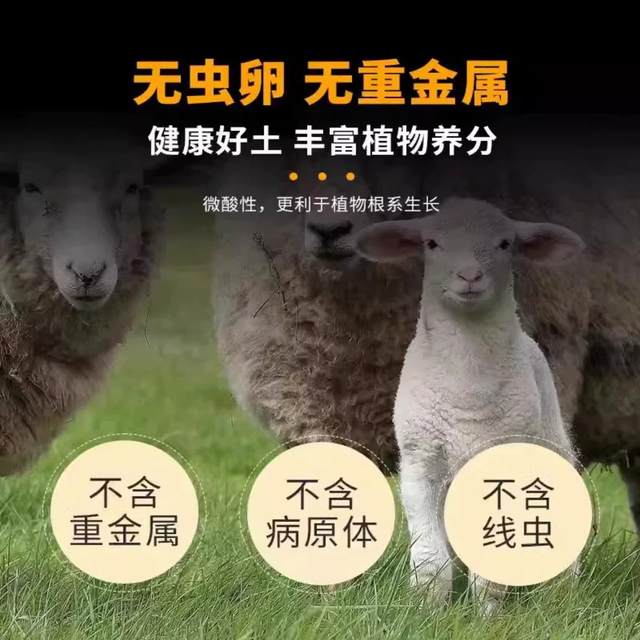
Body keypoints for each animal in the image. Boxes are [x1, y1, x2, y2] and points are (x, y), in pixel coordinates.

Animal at [354, 197, 584, 609]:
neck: (467, 388)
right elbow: (430, 560)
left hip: (552, 444)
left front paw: (488, 612)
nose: (469, 276)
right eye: (431, 243)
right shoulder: (419, 460)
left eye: (505, 243)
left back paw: (562, 591)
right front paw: (428, 609)